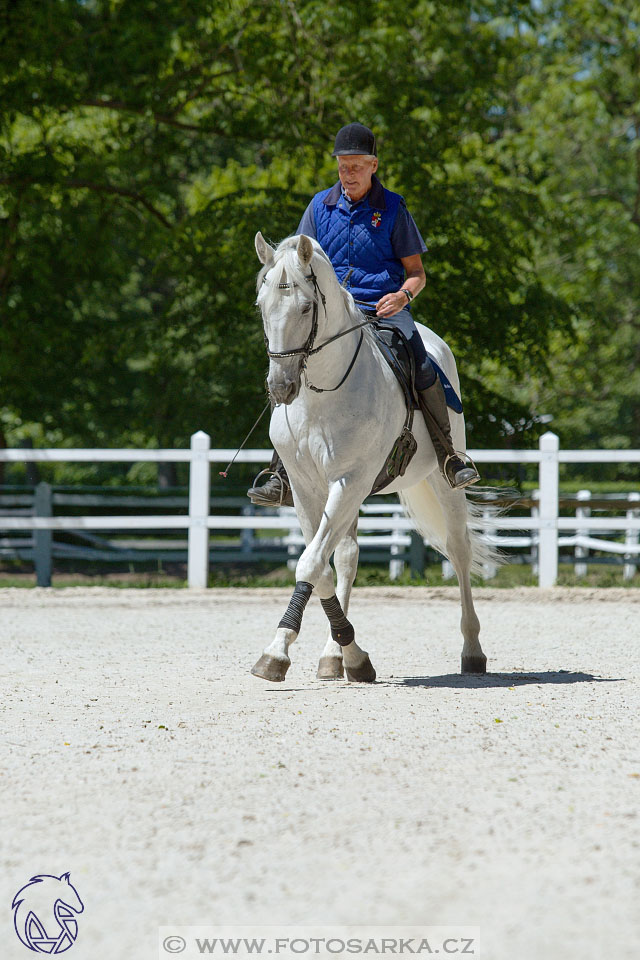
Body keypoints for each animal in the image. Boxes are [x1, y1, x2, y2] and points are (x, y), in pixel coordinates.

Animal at [252, 232, 492, 684]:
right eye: (261, 305)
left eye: (306, 307)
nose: (281, 387)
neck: (323, 394)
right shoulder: (308, 490)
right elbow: (321, 568)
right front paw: (345, 652)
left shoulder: (350, 480)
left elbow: (310, 565)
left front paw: (275, 653)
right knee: (347, 556)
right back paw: (335, 656)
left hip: (440, 481)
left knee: (459, 550)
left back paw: (473, 651)